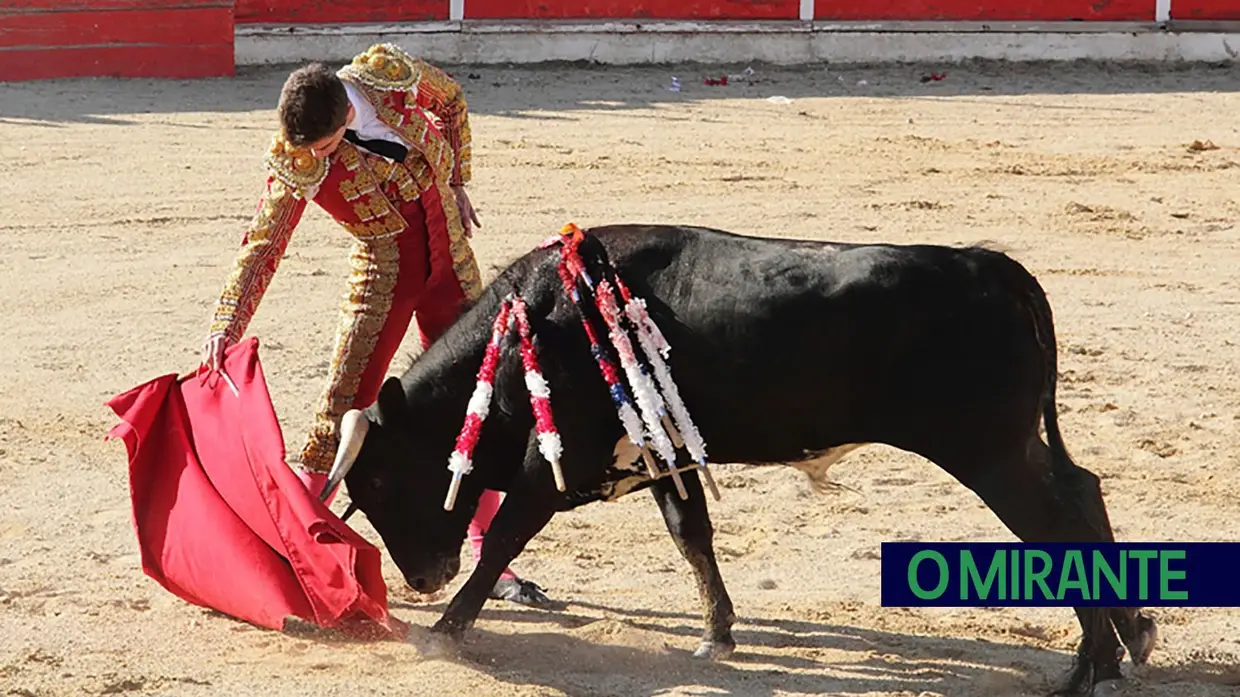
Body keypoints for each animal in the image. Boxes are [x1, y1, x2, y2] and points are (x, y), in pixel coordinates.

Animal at [324, 225, 1155, 689]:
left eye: (384, 476)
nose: (421, 578)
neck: (541, 320)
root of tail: (993, 267)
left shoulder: (555, 464)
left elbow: (503, 534)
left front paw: (444, 631)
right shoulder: (664, 450)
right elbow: (692, 534)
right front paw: (717, 633)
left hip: (988, 453)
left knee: (1056, 523)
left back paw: (1091, 666)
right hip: (1008, 446)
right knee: (1082, 493)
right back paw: (1127, 642)